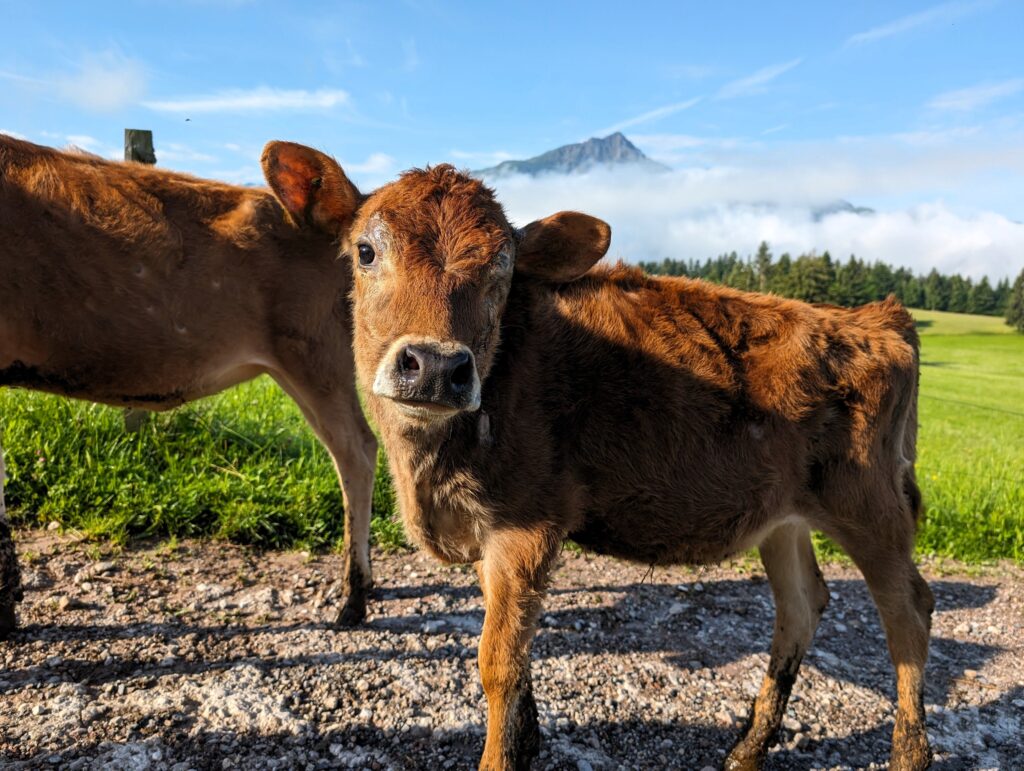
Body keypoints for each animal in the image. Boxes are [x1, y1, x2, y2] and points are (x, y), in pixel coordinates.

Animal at [266, 143, 937, 769]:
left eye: (504, 270)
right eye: (366, 251)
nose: (434, 365)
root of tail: (875, 318)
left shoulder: (528, 524)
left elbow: (497, 661)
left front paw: (505, 751)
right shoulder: (490, 532)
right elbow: (515, 649)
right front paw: (528, 740)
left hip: (870, 506)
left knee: (909, 610)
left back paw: (907, 754)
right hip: (784, 517)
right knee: (801, 605)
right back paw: (748, 749)